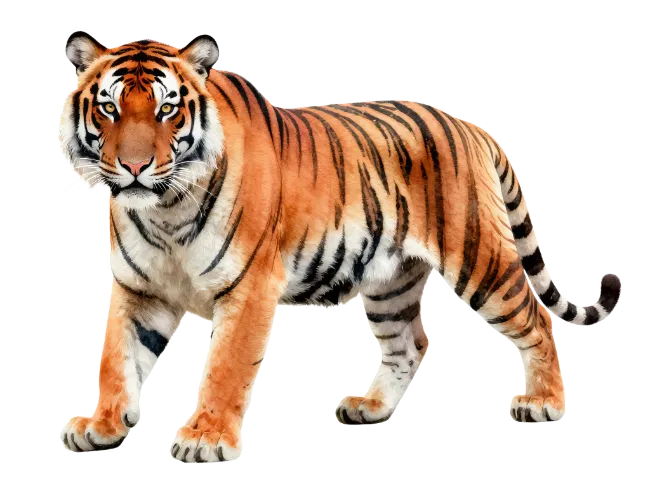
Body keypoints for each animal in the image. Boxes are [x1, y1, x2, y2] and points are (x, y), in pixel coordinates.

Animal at [57, 31, 622, 463]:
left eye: (168, 110)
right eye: (108, 108)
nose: (134, 167)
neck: (165, 212)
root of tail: (472, 127)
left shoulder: (250, 287)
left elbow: (224, 368)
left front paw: (205, 439)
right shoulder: (140, 289)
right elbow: (115, 360)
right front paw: (103, 427)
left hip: (481, 258)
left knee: (537, 319)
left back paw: (544, 403)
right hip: (390, 283)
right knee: (409, 342)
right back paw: (370, 408)